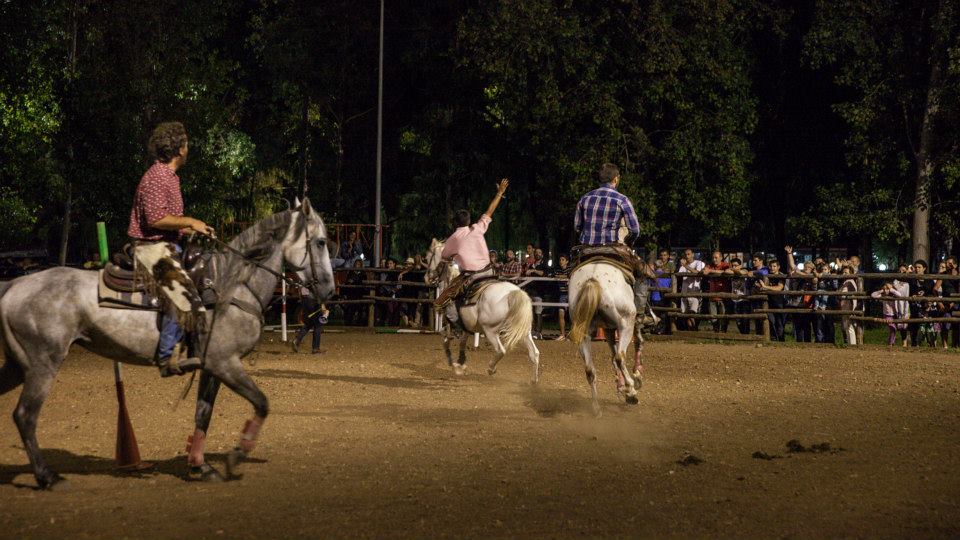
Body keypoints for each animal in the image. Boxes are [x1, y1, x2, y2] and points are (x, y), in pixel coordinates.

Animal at [0, 198, 338, 490]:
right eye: (321, 242)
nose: (330, 291)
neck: (232, 286)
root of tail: (15, 283)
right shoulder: (225, 363)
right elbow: (262, 403)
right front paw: (234, 458)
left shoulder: (212, 368)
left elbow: (203, 415)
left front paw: (200, 466)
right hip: (44, 363)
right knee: (25, 415)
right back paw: (47, 477)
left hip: (18, 366)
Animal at [422, 240, 536, 384]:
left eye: (428, 257)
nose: (426, 278)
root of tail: (513, 293)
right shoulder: (466, 327)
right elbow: (462, 343)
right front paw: (460, 363)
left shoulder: (452, 324)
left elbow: (446, 341)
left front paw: (453, 363)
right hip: (525, 332)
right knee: (534, 353)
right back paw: (534, 381)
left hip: (490, 331)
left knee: (501, 350)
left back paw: (491, 369)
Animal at [568, 260, 640, 416]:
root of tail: (592, 280)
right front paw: (635, 379)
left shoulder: (608, 329)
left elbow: (612, 354)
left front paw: (620, 386)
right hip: (626, 323)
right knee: (620, 357)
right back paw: (631, 392)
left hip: (584, 332)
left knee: (590, 370)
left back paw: (596, 408)